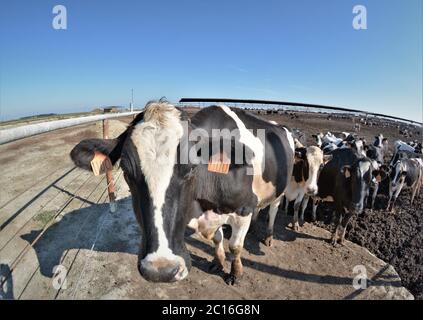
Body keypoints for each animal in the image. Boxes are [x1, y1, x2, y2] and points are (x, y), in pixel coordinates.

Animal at [69, 101, 294, 284]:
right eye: (125, 170)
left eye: (192, 168)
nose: (161, 270)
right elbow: (217, 239)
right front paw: (217, 261)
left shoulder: (243, 209)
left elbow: (235, 246)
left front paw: (235, 274)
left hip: (283, 187)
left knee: (273, 208)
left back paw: (269, 235)